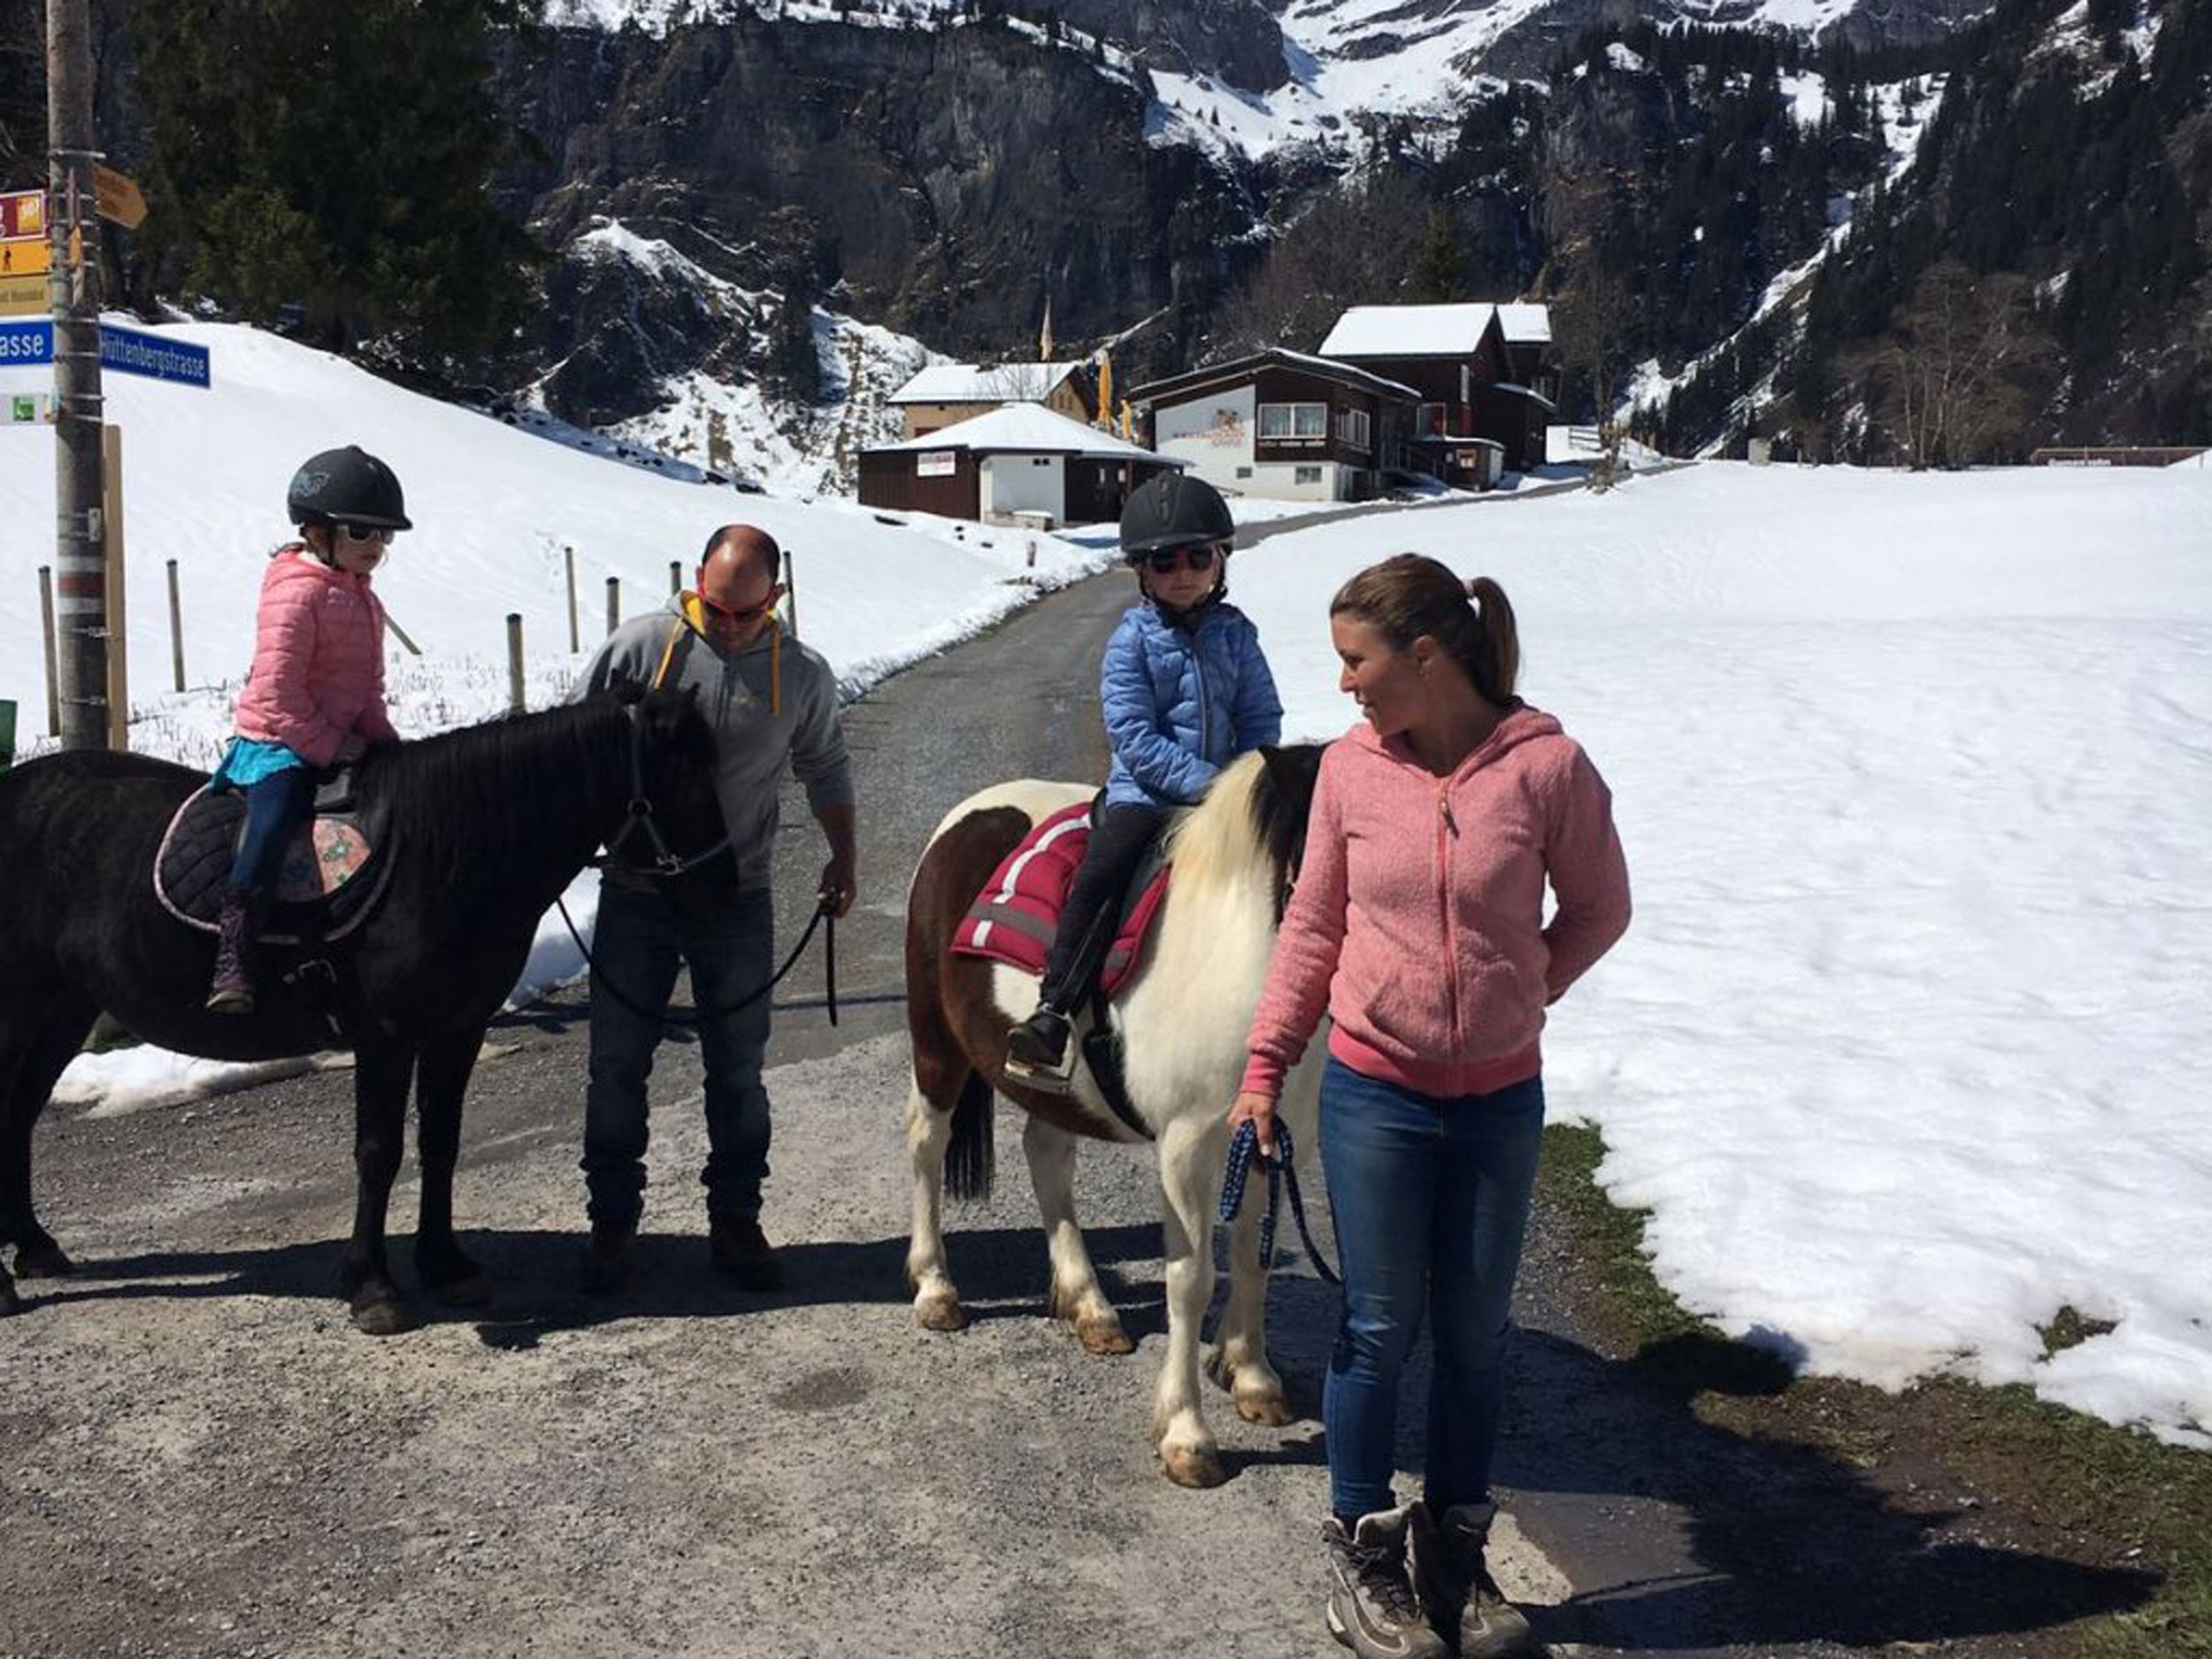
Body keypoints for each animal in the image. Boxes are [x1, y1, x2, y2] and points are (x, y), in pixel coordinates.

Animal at [0, 690, 717, 1336]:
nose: (722, 882)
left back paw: (35, 1246)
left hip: (65, 1005)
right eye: (690, 776)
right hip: (22, 1004)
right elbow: (379, 1152)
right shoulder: (387, 1037)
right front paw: (373, 1286)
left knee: (21, 1111)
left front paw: (445, 1264)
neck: (441, 852)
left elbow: (441, 1141)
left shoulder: (458, 1028)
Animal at [902, 748, 1318, 1486]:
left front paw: (1252, 1376)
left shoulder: (1272, 1134)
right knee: (927, 1142)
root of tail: (965, 818)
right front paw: (1188, 1435)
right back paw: (936, 1288)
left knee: (1047, 1157)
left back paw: (1089, 1303)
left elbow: (1253, 1255)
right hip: (937, 1047)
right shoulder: (1188, 1146)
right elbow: (1190, 1277)